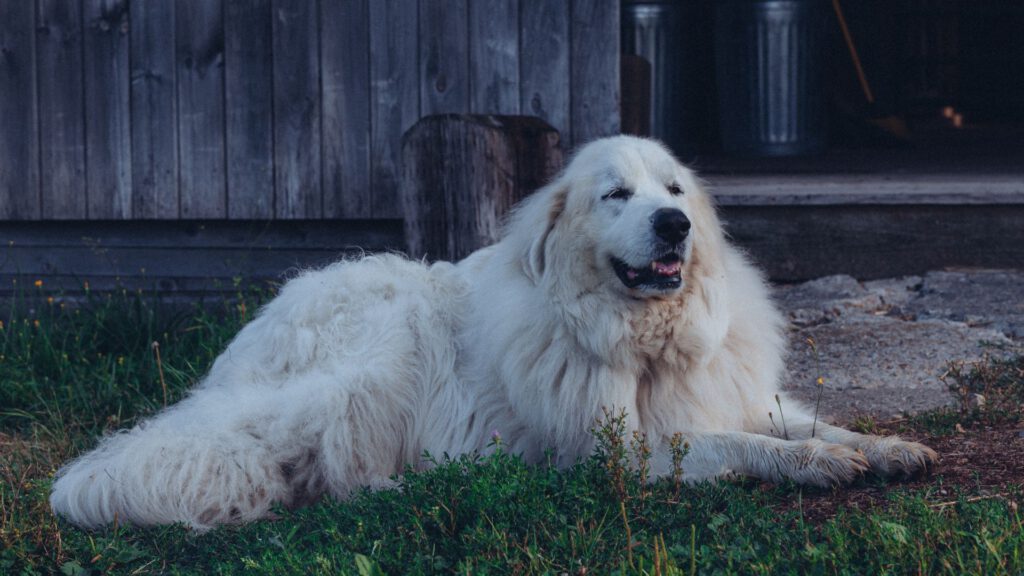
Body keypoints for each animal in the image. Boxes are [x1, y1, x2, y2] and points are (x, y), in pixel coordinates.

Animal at [49, 135, 937, 528]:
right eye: (616, 195)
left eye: (675, 189)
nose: (675, 225)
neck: (641, 339)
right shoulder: (618, 453)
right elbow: (744, 446)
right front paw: (818, 466)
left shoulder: (721, 398)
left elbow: (803, 421)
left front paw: (884, 447)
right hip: (381, 346)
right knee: (328, 464)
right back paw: (415, 483)